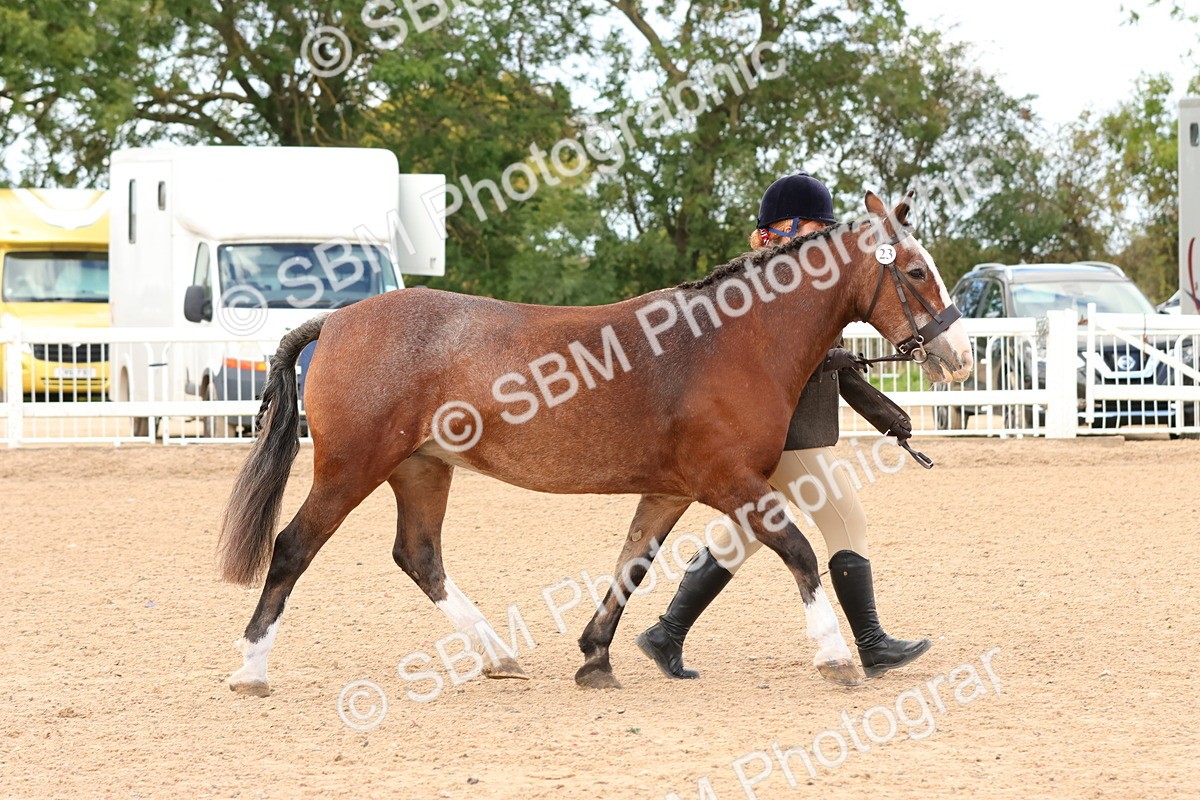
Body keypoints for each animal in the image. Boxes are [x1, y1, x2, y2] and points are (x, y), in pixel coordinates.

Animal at [218, 191, 972, 697]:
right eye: (914, 271)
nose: (959, 357)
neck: (730, 341)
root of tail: (338, 319)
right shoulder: (729, 481)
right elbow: (799, 550)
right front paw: (836, 657)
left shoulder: (672, 490)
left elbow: (632, 566)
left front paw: (597, 658)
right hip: (351, 469)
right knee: (293, 548)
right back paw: (251, 668)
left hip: (422, 469)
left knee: (419, 556)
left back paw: (498, 655)